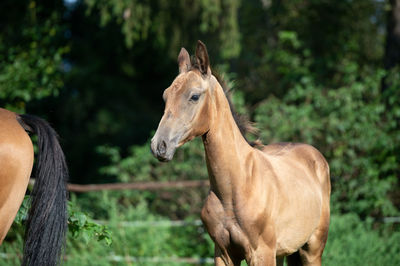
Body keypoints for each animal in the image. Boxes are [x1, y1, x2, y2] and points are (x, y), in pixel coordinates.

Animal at [152, 40, 330, 264]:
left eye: (194, 96)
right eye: (165, 95)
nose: (159, 145)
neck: (235, 187)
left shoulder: (261, 254)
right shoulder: (223, 253)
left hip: (312, 249)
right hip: (284, 252)